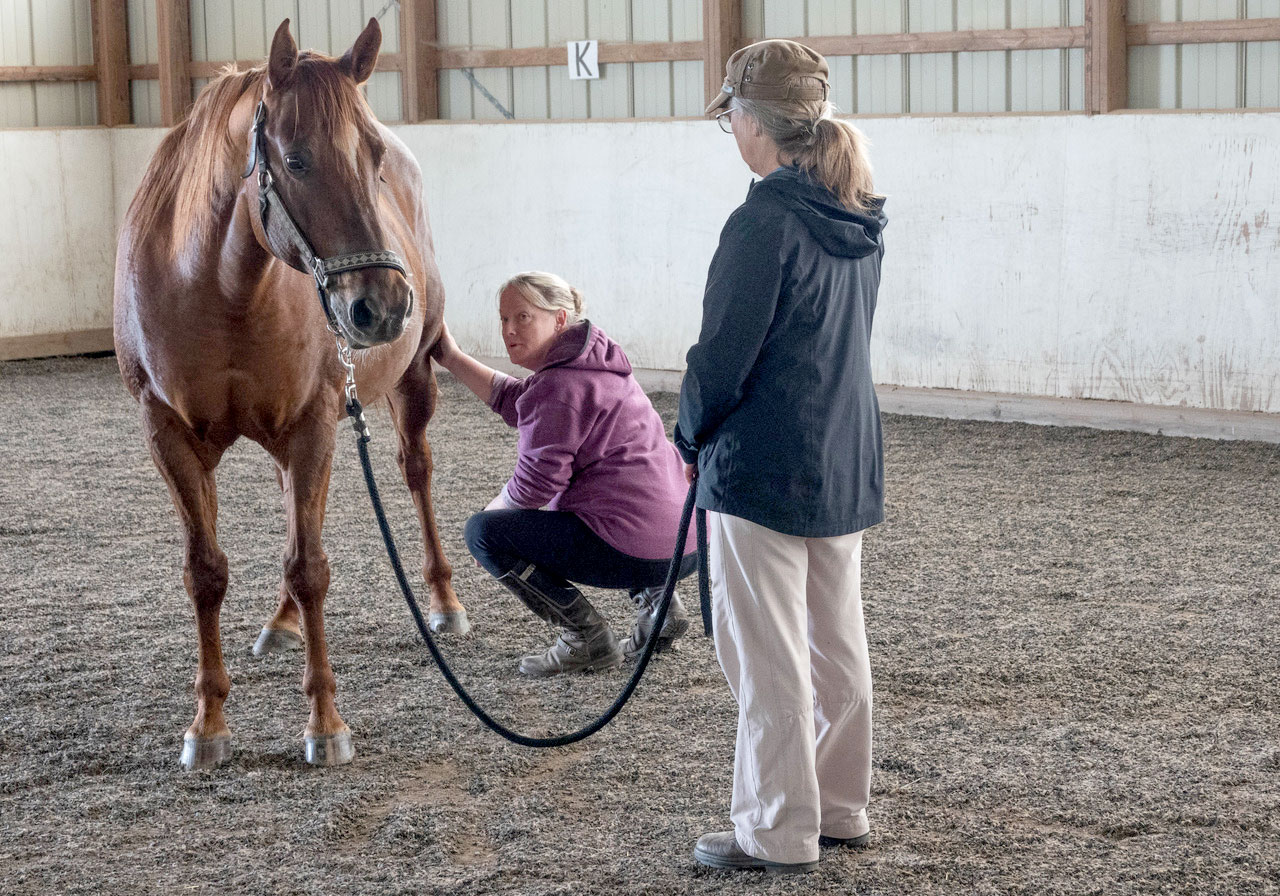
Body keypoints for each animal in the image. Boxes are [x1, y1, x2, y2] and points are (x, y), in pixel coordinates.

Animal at [116, 15, 471, 768]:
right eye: (298, 160)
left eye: (372, 157)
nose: (383, 306)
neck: (220, 291)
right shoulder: (168, 435)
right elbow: (206, 571)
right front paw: (207, 725)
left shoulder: (312, 425)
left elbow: (311, 568)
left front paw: (326, 723)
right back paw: (281, 624)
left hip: (410, 384)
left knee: (415, 472)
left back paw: (444, 602)